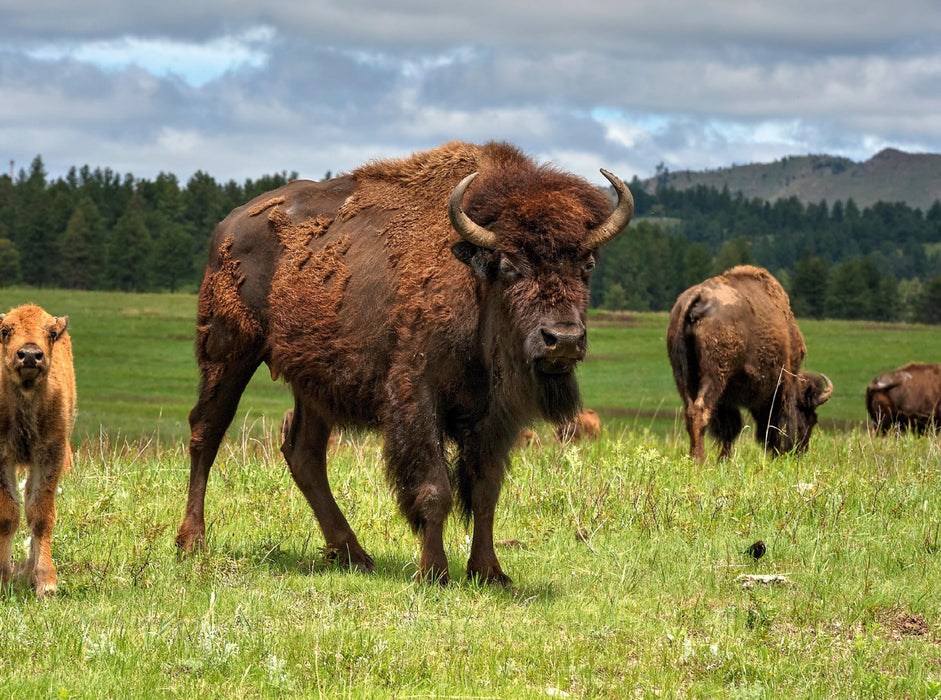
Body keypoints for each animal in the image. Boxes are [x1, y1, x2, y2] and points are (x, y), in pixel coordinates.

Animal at [176, 141, 633, 584]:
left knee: (304, 452)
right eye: (508, 264)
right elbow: (435, 488)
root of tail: (229, 225)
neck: (475, 280)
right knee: (206, 431)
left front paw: (490, 573)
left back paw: (354, 555)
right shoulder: (417, 395)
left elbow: (485, 490)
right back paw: (192, 542)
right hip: (229, 351)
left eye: (586, 264)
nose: (563, 340)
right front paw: (434, 572)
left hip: (313, 380)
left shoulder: (495, 415)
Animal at [667, 265, 832, 462]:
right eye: (810, 418)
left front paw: (724, 461)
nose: (799, 452)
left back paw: (693, 457)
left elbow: (729, 429)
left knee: (691, 410)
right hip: (715, 376)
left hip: (683, 375)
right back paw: (700, 460)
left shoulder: (727, 398)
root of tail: (700, 296)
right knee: (701, 410)